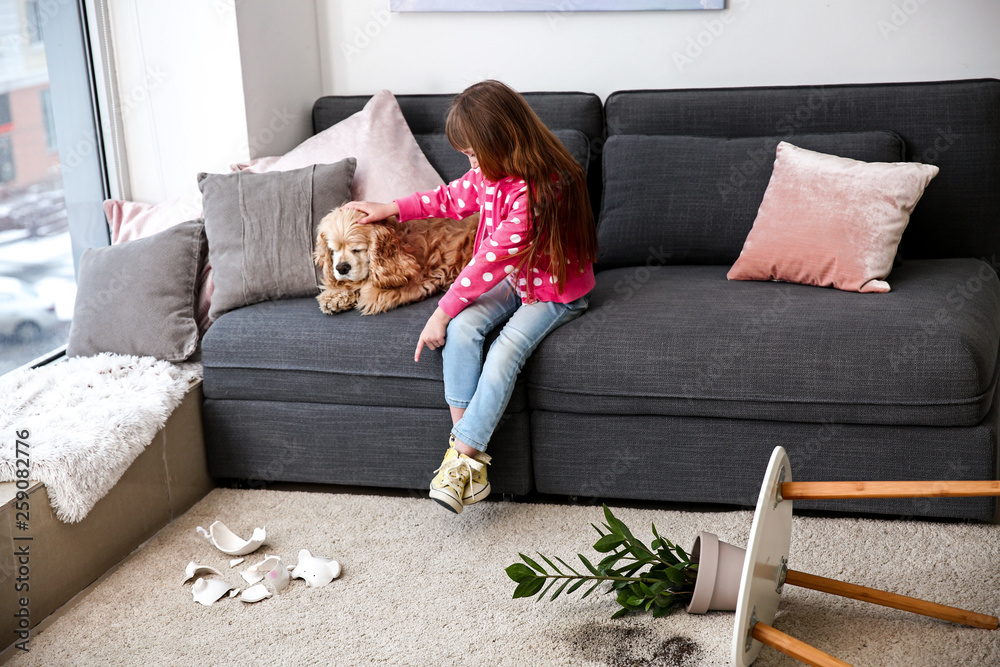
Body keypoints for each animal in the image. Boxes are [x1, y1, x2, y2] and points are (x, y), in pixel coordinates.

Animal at [316, 206, 480, 316]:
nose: (342, 268)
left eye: (357, 249)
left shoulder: (418, 281)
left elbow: (367, 289)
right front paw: (334, 297)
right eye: (333, 249)